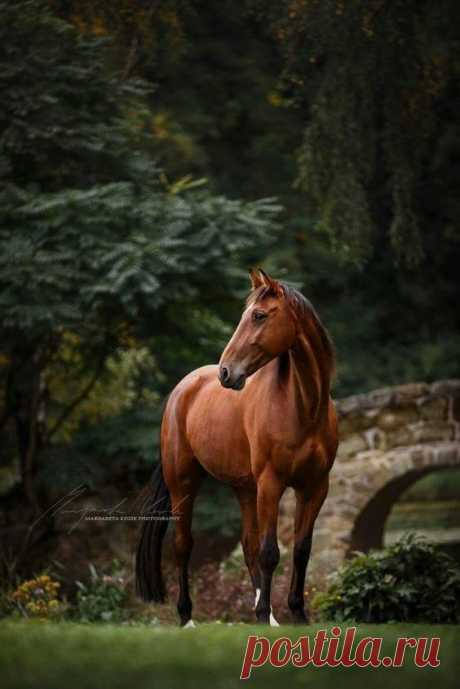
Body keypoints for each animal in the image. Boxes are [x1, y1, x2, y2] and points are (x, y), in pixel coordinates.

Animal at [136, 268, 338, 626]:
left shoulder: (314, 487)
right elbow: (271, 552)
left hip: (244, 488)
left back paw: (267, 618)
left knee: (247, 544)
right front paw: (266, 612)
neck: (303, 408)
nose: (226, 372)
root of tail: (182, 389)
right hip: (184, 482)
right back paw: (187, 617)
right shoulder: (271, 484)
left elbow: (301, 550)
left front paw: (296, 614)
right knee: (183, 545)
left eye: (259, 315)